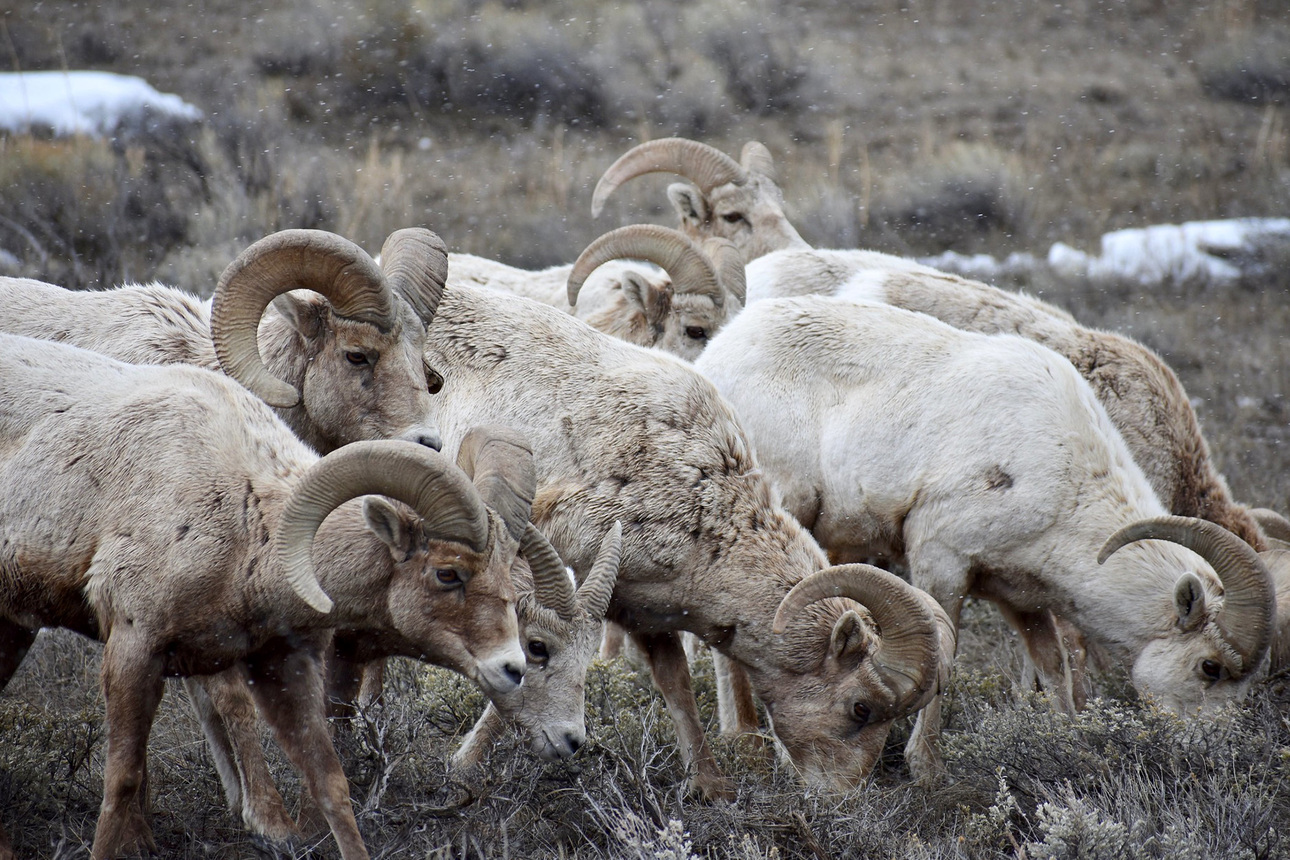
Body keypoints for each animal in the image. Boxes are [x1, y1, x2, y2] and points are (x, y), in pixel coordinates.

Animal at [0, 335, 534, 860]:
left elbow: (330, 782)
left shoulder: (281, 665)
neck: (245, 523)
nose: (513, 668)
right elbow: (123, 781)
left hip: (14, 631)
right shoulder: (134, 649)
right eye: (448, 573)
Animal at [691, 293, 1274, 773]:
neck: (1065, 479)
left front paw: (1067, 738)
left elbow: (1054, 668)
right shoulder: (941, 562)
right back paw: (743, 739)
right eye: (1211, 667)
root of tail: (720, 353)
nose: (1216, 753)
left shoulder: (1022, 597)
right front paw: (926, 769)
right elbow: (943, 665)